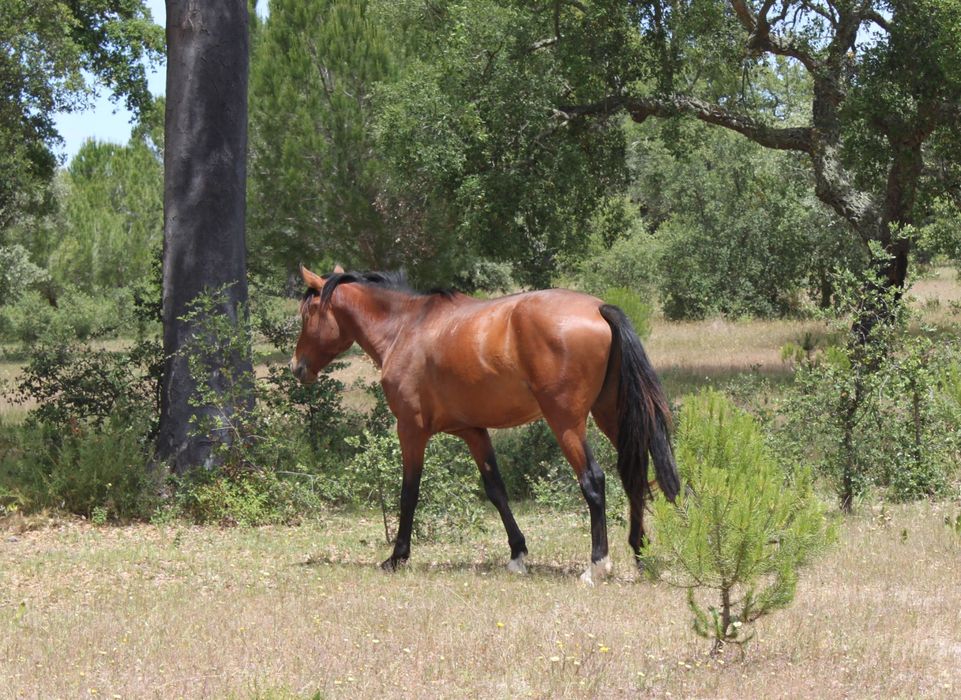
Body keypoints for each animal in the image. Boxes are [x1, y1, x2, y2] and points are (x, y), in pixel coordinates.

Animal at [290, 264, 680, 584]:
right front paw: (517, 554)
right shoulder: (473, 431)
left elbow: (409, 492)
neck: (405, 328)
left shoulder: (411, 431)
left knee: (594, 481)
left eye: (307, 314)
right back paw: (640, 552)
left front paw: (397, 557)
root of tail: (599, 308)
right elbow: (496, 490)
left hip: (566, 422)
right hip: (611, 416)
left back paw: (597, 565)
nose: (297, 367)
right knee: (634, 476)